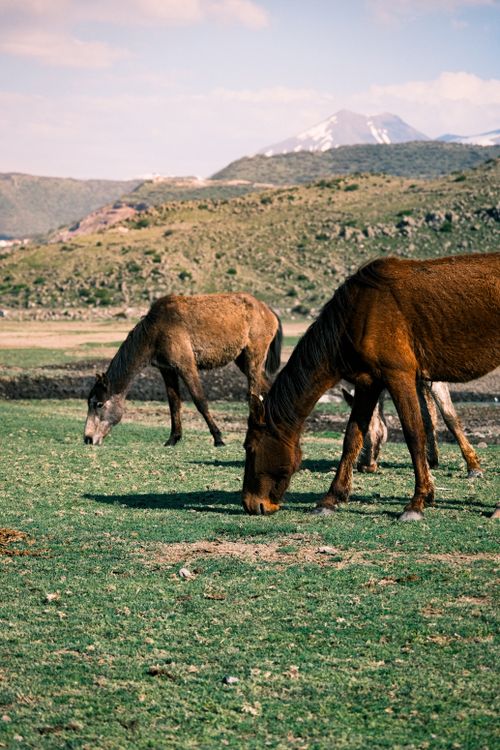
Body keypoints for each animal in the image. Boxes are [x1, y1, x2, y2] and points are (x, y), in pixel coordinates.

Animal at [84, 292, 282, 447]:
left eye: (99, 404)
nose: (87, 438)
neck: (156, 330)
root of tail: (268, 310)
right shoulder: (167, 370)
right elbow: (174, 403)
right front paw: (173, 438)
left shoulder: (186, 366)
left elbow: (199, 400)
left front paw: (218, 438)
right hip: (242, 360)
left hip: (253, 359)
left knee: (253, 393)